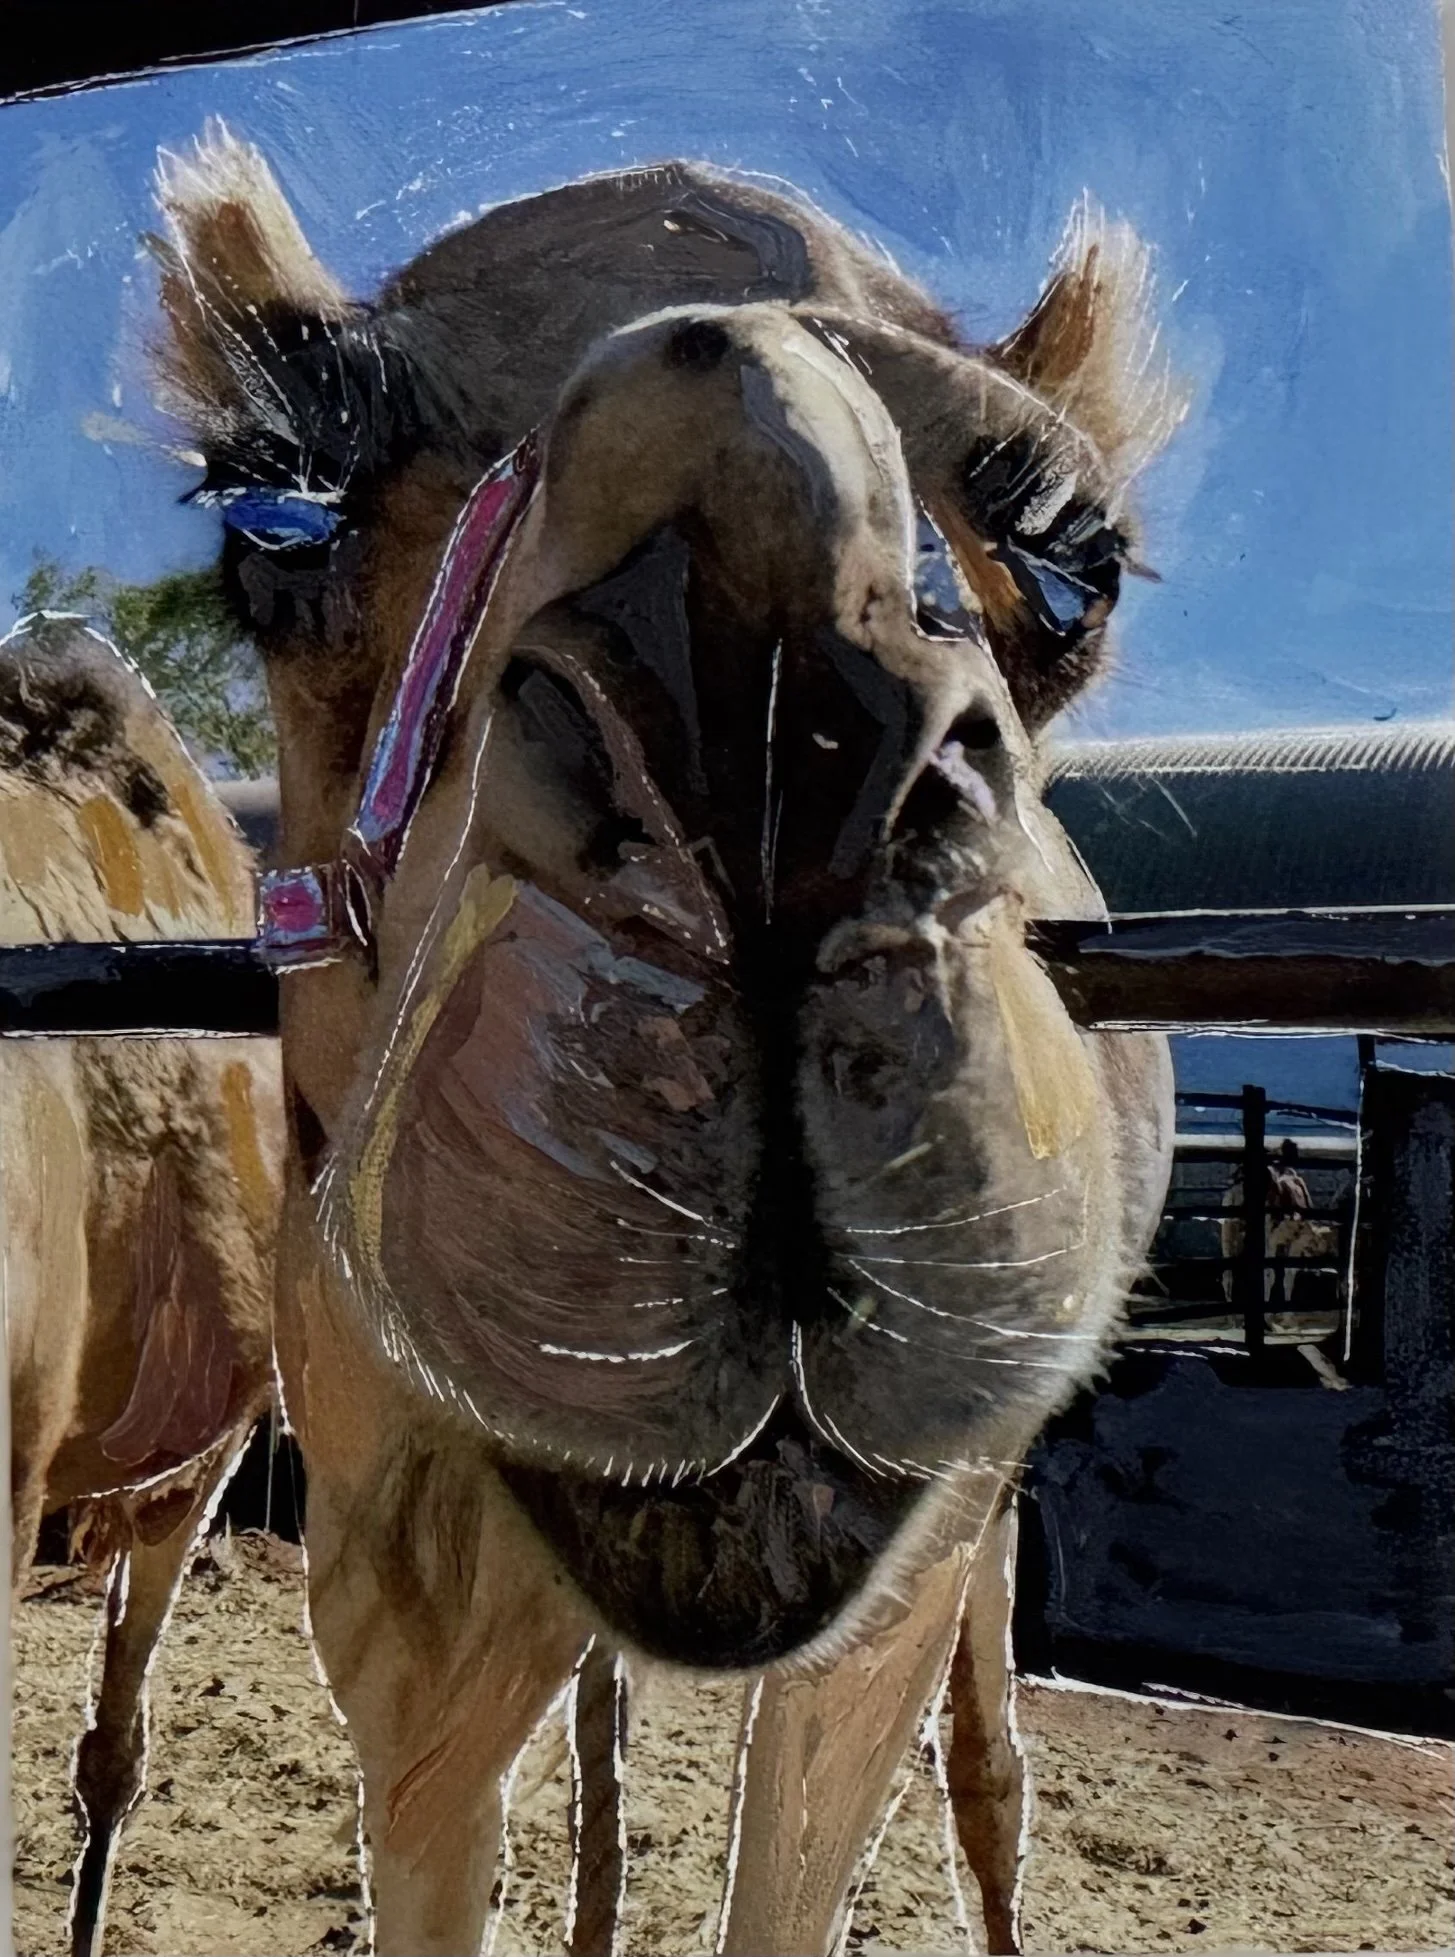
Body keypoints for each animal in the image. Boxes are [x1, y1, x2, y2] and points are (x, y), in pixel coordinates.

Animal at [150, 123, 1180, 1955]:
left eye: (1080, 564)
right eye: (277, 508)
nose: (768, 714)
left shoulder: (907, 1555)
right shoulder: (383, 1534)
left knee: (987, 1764)